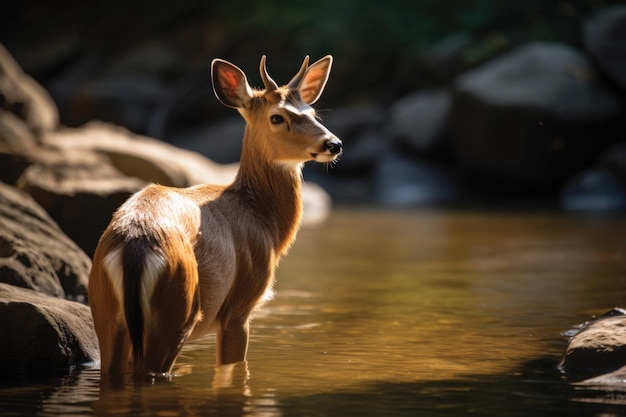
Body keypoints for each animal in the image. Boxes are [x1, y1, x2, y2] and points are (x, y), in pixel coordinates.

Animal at [86, 53, 342, 376]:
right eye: (277, 117)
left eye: (312, 112)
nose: (334, 144)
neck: (262, 218)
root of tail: (134, 245)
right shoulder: (240, 308)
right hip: (177, 312)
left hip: (106, 316)